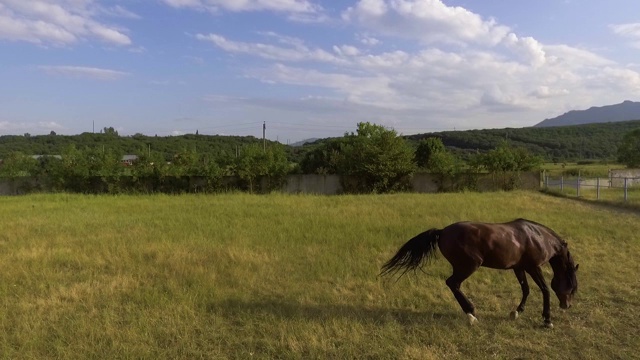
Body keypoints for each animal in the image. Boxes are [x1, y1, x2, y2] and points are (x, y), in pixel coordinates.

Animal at [380, 218, 580, 328]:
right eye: (572, 287)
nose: (567, 306)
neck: (538, 237)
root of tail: (442, 231)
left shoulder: (519, 268)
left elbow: (526, 290)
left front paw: (516, 312)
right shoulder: (533, 267)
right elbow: (545, 290)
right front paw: (547, 320)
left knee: (453, 284)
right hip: (469, 266)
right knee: (452, 283)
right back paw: (471, 314)